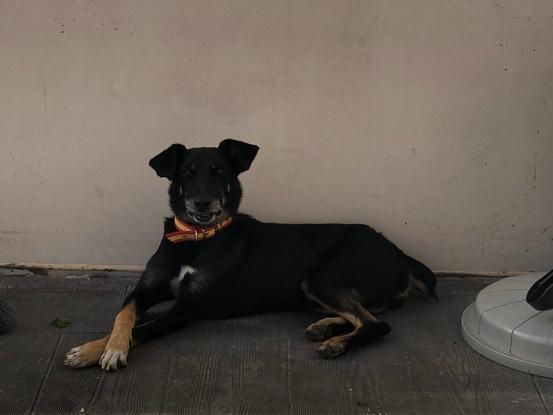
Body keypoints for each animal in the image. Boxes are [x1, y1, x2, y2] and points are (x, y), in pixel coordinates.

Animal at [65, 139, 437, 370]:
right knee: (362, 313)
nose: (202, 203)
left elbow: (142, 329)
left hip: (322, 277)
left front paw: (103, 351)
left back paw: (337, 344)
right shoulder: (145, 290)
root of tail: (399, 253)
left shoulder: (189, 306)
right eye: (187, 173)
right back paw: (326, 328)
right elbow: (124, 318)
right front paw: (100, 347)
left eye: (220, 172)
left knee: (377, 323)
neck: (197, 238)